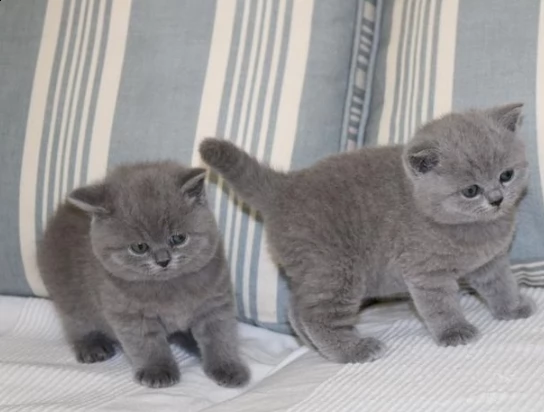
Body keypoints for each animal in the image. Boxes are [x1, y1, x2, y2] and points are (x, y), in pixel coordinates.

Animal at [37, 160, 250, 386]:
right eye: (139, 247)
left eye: (179, 238)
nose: (163, 260)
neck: (169, 287)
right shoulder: (129, 313)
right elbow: (147, 344)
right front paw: (157, 371)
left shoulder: (215, 302)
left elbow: (221, 336)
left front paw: (228, 367)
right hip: (67, 296)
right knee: (76, 324)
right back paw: (92, 346)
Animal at [200, 103, 536, 364]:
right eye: (470, 191)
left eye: (506, 175)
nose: (497, 199)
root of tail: (284, 187)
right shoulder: (425, 272)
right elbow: (439, 305)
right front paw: (454, 331)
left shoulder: (490, 261)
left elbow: (500, 284)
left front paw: (513, 308)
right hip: (336, 268)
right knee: (317, 315)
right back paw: (354, 351)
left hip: (312, 271)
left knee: (296, 307)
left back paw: (314, 347)